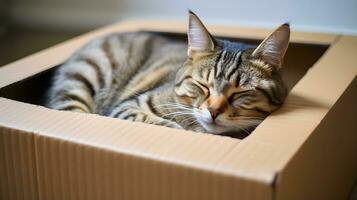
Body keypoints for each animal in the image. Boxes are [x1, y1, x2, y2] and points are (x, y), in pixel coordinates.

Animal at [46, 11, 290, 138]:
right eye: (202, 86)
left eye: (240, 93)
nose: (213, 112)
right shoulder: (128, 106)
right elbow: (156, 121)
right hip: (83, 78)